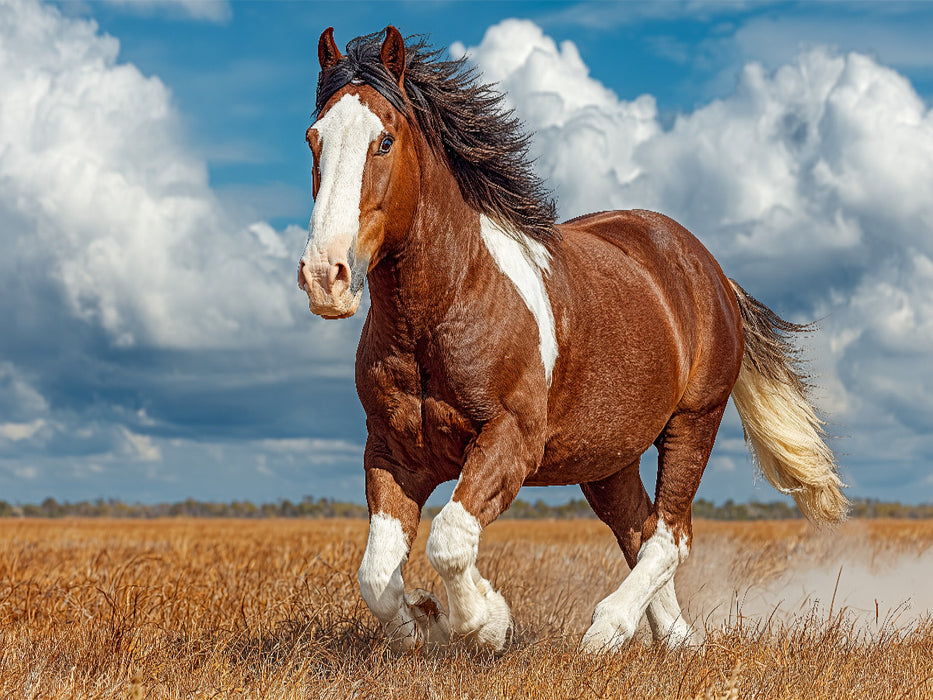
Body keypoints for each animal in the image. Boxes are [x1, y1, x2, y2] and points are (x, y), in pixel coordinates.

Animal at [297, 26, 847, 652]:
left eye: (384, 141)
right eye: (314, 139)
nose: (326, 276)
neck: (440, 313)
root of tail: (711, 272)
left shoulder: (511, 439)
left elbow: (450, 538)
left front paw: (486, 622)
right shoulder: (392, 452)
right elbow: (375, 575)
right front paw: (424, 619)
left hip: (693, 422)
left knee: (671, 535)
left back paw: (606, 631)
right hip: (608, 458)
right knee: (640, 531)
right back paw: (676, 640)